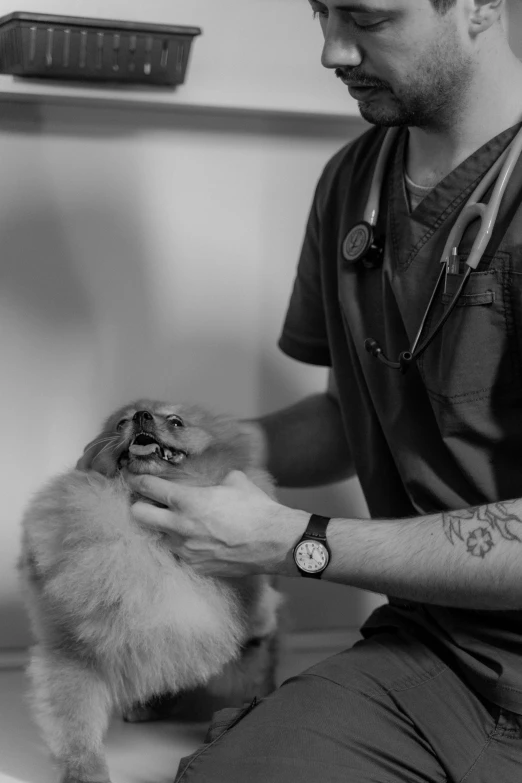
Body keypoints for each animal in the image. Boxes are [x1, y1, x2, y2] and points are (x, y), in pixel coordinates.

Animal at [19, 402, 280, 783]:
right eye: (120, 423)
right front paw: (83, 769)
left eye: (176, 421)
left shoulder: (248, 635)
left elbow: (255, 673)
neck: (146, 535)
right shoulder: (71, 650)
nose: (142, 415)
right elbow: (75, 720)